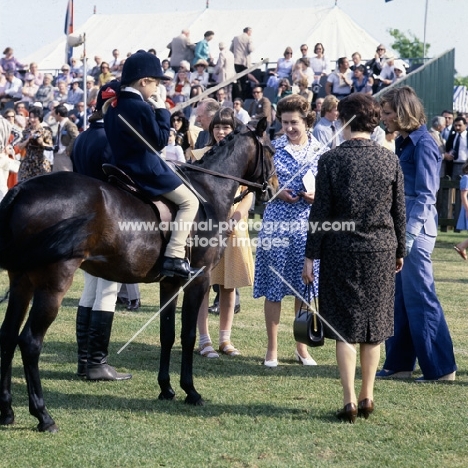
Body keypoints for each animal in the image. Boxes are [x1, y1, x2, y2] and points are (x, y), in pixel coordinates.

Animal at [0, 118, 274, 432]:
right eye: (271, 151)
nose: (271, 188)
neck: (208, 191)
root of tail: (21, 190)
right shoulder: (199, 279)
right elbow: (188, 335)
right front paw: (190, 391)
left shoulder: (170, 283)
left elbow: (167, 334)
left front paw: (166, 388)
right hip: (53, 283)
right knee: (30, 342)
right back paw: (43, 416)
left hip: (22, 281)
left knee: (7, 335)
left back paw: (7, 410)